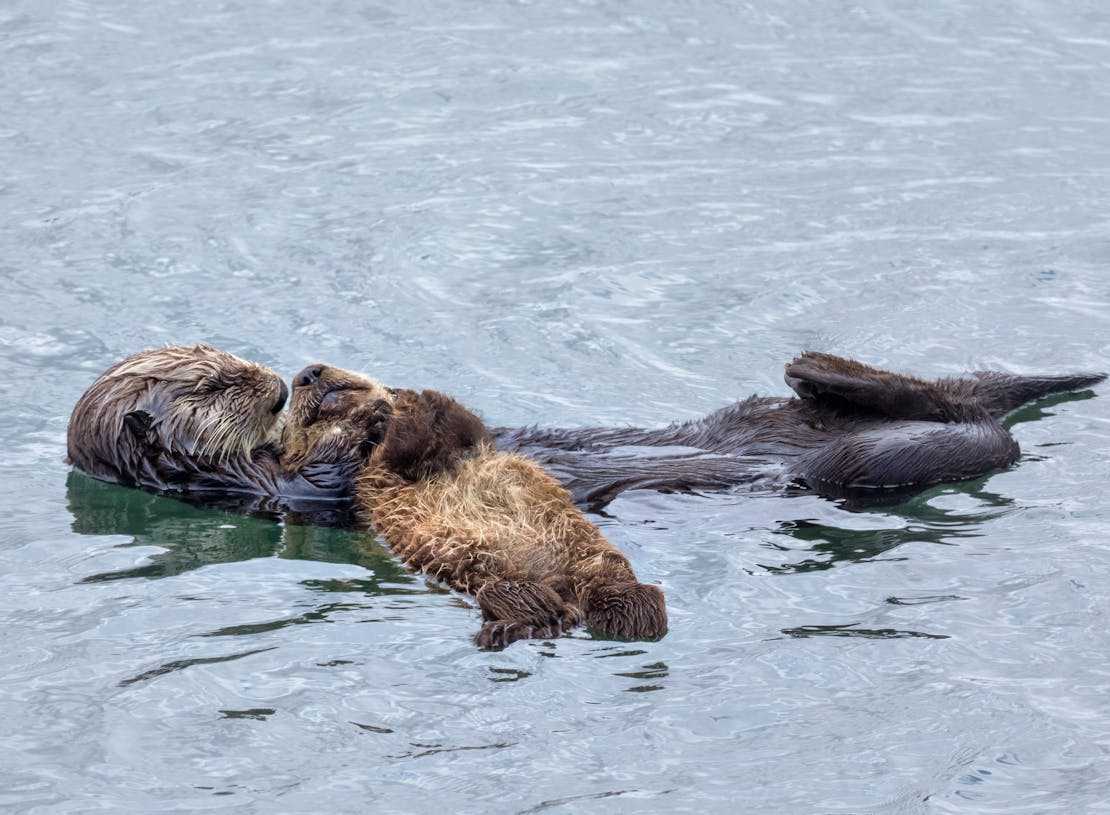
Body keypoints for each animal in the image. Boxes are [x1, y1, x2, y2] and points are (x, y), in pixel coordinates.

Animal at [284, 366, 666, 648]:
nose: (308, 373)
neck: (434, 463)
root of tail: (573, 600)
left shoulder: (468, 442)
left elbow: (461, 423)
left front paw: (402, 399)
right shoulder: (377, 477)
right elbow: (396, 449)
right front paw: (379, 414)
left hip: (601, 569)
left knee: (639, 608)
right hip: (502, 584)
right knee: (536, 607)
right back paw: (509, 630)